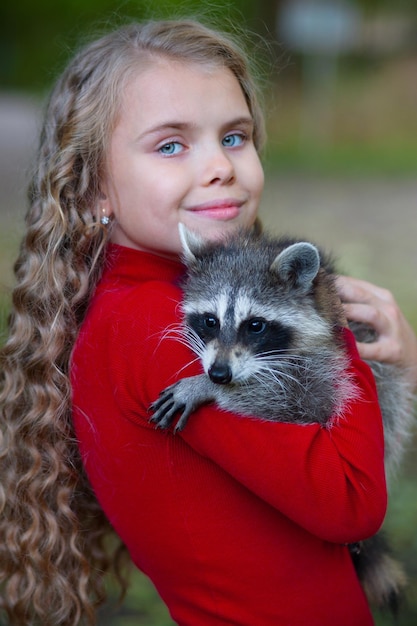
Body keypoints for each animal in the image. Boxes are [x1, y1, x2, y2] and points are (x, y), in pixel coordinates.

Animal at [150, 223, 412, 608]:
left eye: (255, 325)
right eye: (210, 320)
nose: (219, 375)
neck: (253, 247)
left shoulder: (333, 357)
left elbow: (308, 402)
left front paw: (207, 389)